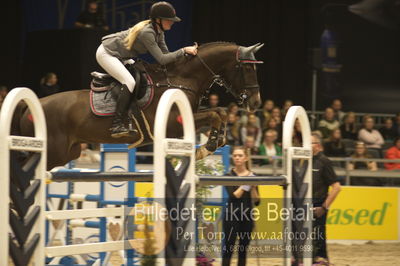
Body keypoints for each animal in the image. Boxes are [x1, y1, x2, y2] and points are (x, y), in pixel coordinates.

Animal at [15, 41, 264, 170]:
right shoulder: (174, 124)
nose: (255, 103)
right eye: (246, 68)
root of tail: (31, 105)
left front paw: (216, 141)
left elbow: (219, 112)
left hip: (67, 152)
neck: (181, 79)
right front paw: (209, 145)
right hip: (51, 152)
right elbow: (214, 115)